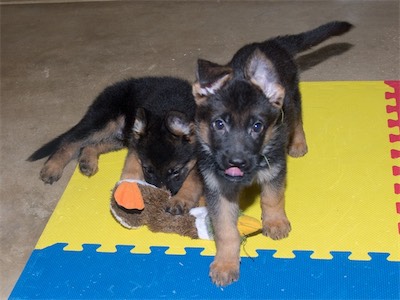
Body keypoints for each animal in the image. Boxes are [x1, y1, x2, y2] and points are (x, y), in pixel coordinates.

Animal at [28, 77, 203, 213]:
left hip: (118, 137)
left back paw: (87, 162)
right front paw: (129, 190)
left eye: (176, 171)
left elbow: (193, 180)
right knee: (70, 142)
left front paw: (180, 199)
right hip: (105, 123)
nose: (161, 195)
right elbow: (131, 168)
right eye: (147, 169)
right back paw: (52, 167)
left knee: (90, 145)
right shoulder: (135, 147)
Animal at [193, 21, 354, 286]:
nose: (237, 162)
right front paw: (225, 264)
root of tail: (271, 43)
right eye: (219, 124)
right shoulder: (219, 188)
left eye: (257, 126)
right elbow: (225, 230)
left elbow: (272, 197)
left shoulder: (274, 169)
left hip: (291, 97)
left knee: (296, 119)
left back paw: (298, 143)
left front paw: (276, 222)